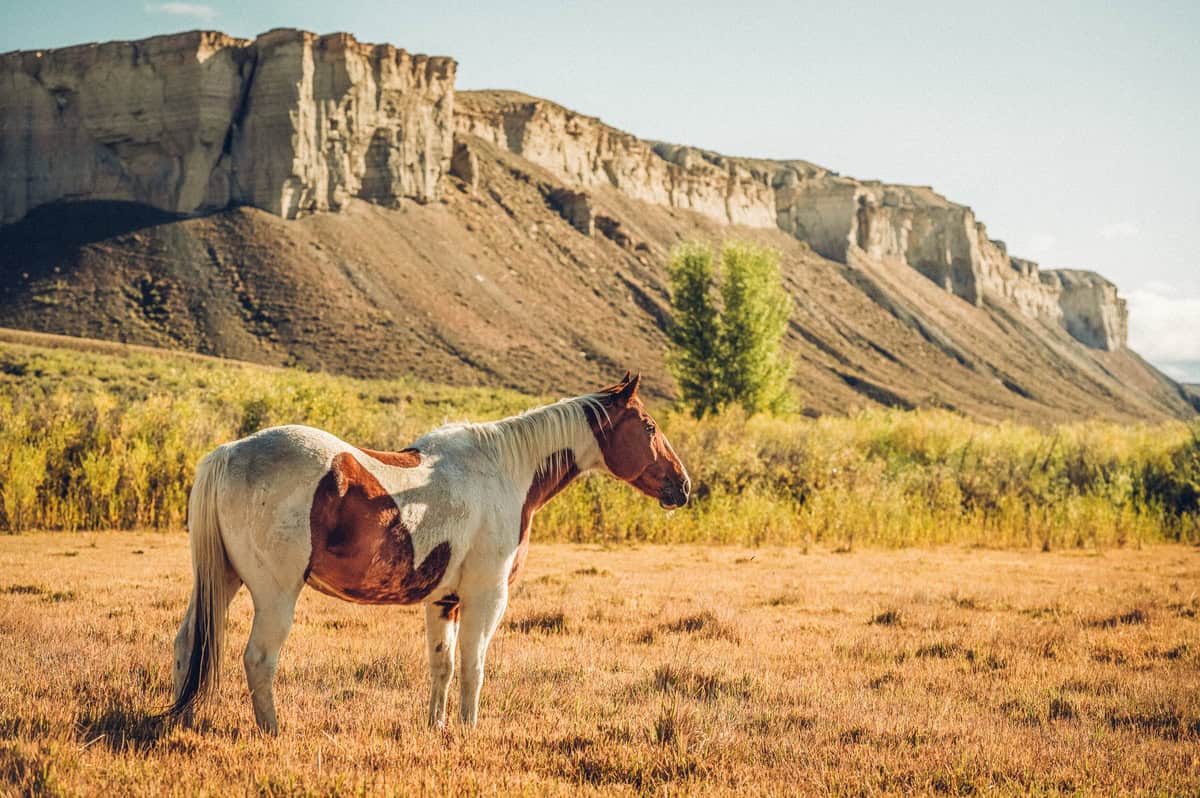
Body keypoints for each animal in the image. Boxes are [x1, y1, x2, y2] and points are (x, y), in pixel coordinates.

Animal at [171, 369, 696, 729]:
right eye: (649, 427)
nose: (684, 486)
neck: (504, 469)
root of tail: (230, 452)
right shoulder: (486, 598)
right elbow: (473, 668)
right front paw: (468, 731)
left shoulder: (444, 601)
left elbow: (442, 665)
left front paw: (437, 727)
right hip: (275, 594)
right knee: (259, 659)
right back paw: (272, 732)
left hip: (222, 581)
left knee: (188, 644)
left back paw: (182, 720)